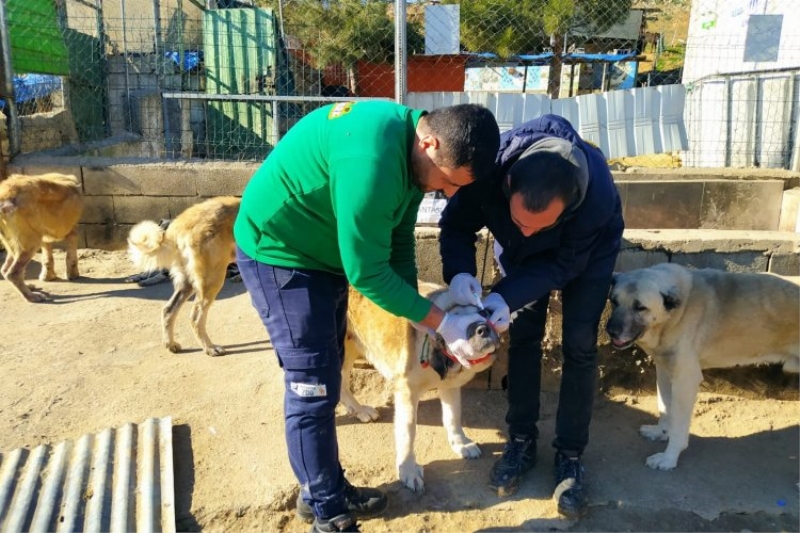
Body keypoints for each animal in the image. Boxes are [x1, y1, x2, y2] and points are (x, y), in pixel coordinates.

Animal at [342, 280, 500, 492]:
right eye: (458, 321)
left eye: (484, 313)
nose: (482, 328)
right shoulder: (406, 392)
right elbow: (408, 432)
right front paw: (407, 470)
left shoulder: (450, 385)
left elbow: (453, 416)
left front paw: (460, 443)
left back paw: (358, 410)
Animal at [608, 264, 800, 468]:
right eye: (614, 301)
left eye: (640, 308)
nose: (610, 331)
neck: (678, 311)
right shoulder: (665, 371)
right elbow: (664, 407)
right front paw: (660, 432)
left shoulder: (686, 381)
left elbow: (678, 427)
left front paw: (669, 458)